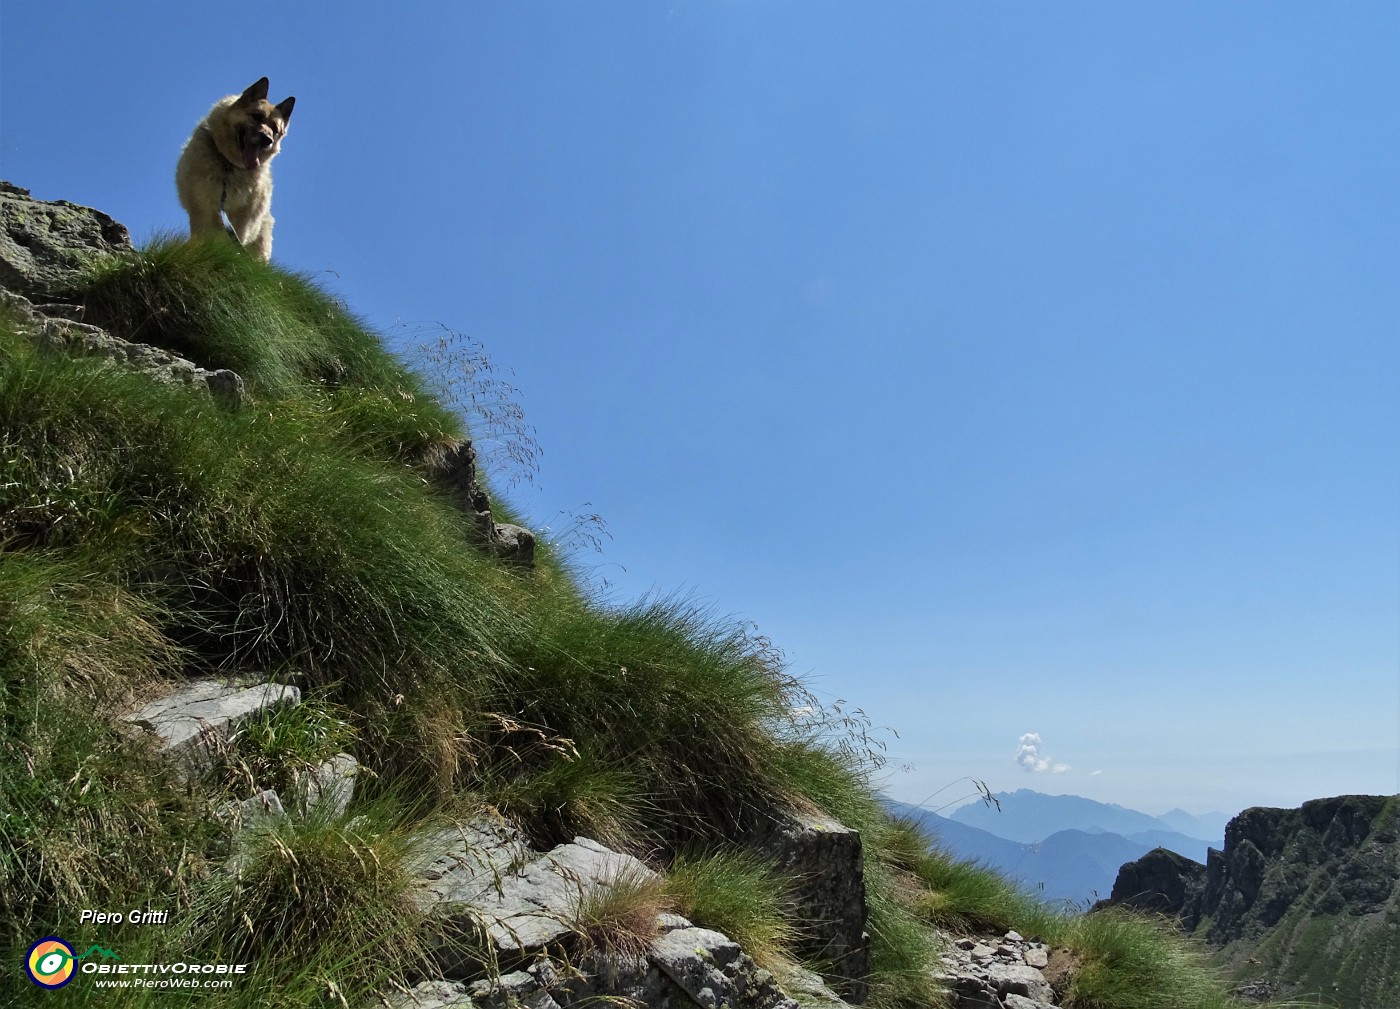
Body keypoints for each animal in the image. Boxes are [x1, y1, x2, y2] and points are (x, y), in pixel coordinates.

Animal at [175, 76, 295, 261]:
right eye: (257, 116)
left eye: (275, 129)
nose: (267, 139)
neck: (228, 164)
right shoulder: (204, 207)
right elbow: (208, 232)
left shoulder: (242, 217)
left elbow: (233, 239)